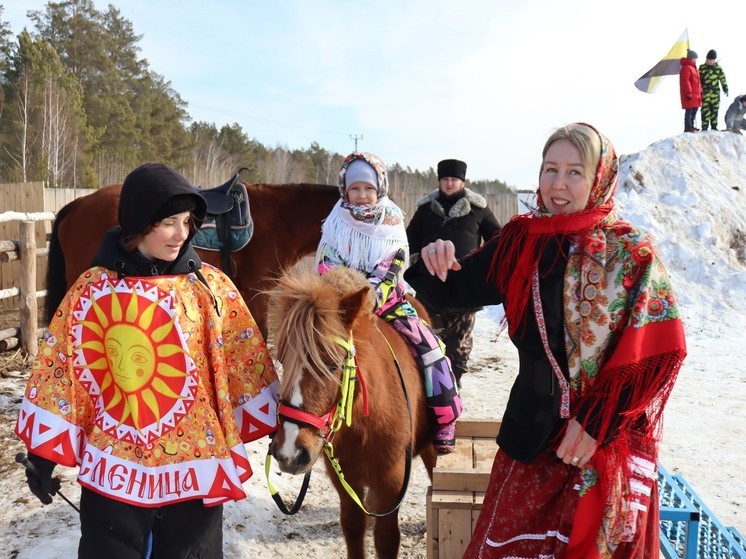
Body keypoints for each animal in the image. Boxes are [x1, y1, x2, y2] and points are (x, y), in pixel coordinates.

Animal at [268, 266, 436, 559]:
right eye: (283, 359)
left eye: (333, 365)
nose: (289, 453)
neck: (364, 426)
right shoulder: (345, 480)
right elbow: (354, 527)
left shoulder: (391, 483)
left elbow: (386, 539)